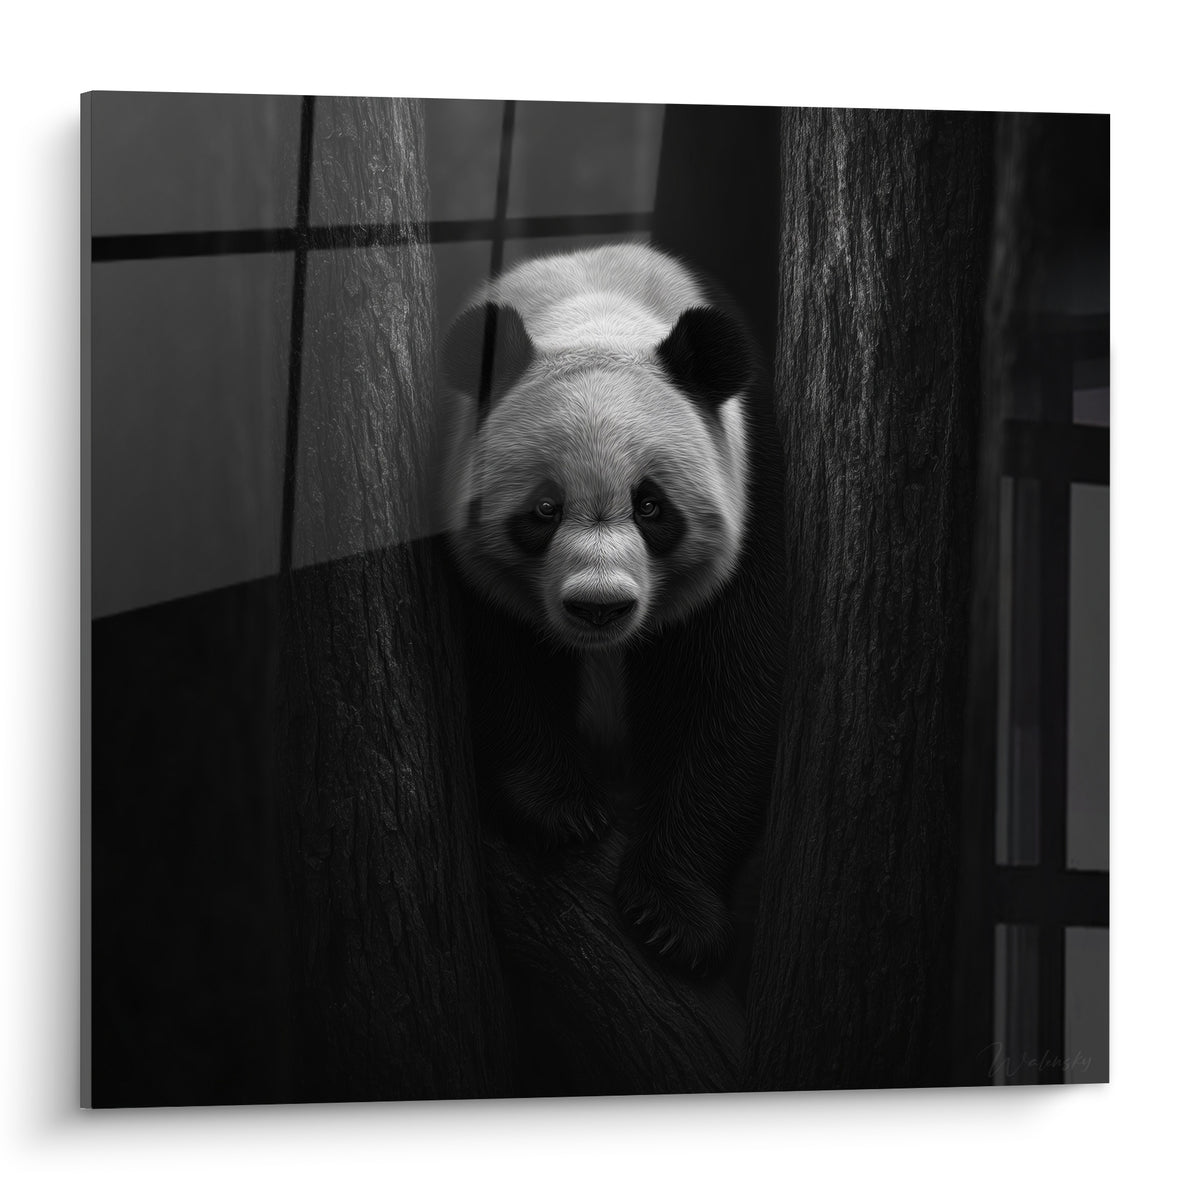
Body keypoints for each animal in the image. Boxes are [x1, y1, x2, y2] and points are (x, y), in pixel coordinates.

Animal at [437, 243, 785, 974]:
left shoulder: (755, 485)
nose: (599, 607)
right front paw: (563, 810)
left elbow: (728, 685)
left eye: (651, 505)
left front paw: (672, 915)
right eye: (544, 509)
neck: (595, 315)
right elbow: (500, 655)